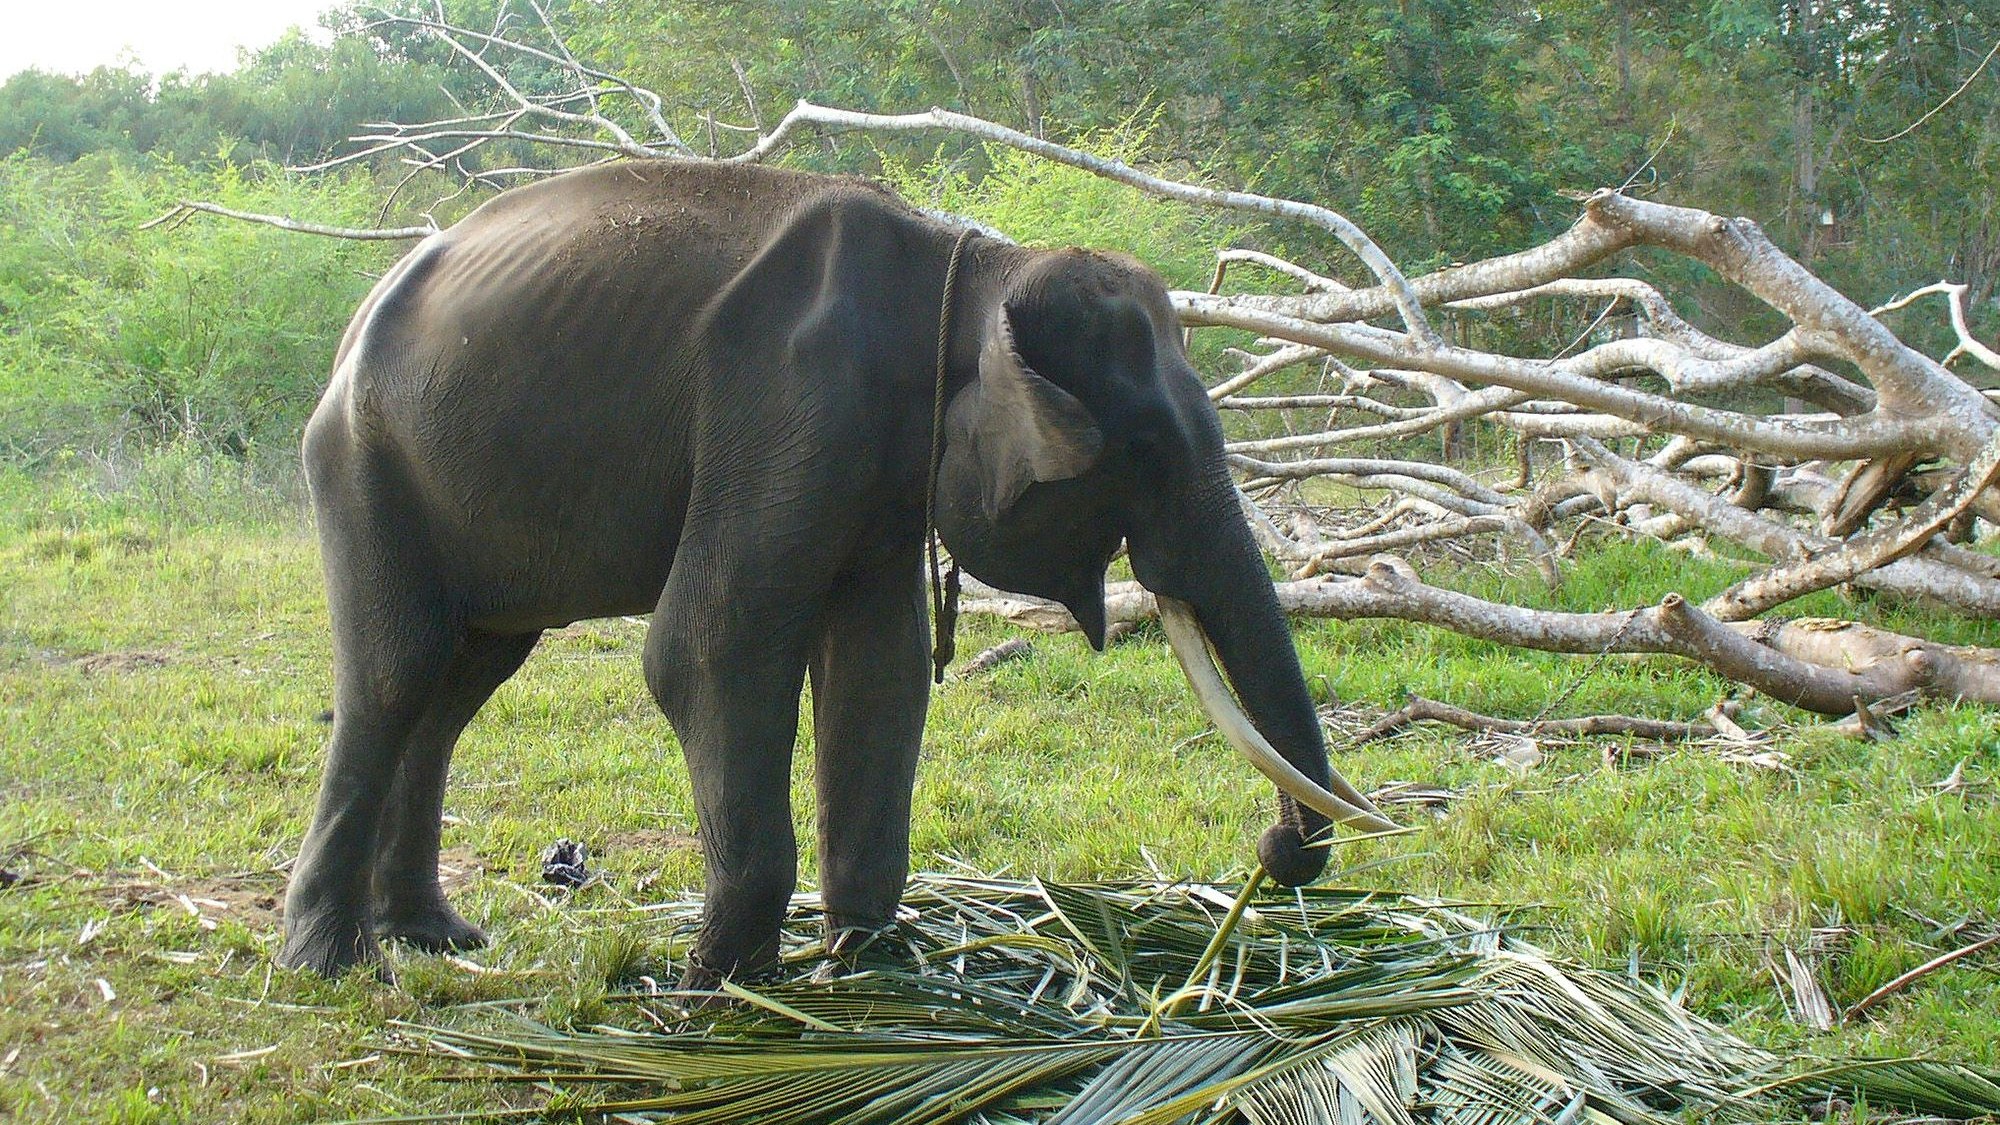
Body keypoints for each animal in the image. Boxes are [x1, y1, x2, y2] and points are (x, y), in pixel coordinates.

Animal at [278, 160, 1393, 982]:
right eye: (1149, 453)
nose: (1275, 855)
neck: (969, 266)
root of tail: (352, 328)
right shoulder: (787, 403)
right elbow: (707, 651)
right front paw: (721, 984)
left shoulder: (881, 470)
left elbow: (879, 669)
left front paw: (861, 957)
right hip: (366, 462)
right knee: (399, 674)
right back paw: (333, 964)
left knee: (465, 678)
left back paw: (437, 938)